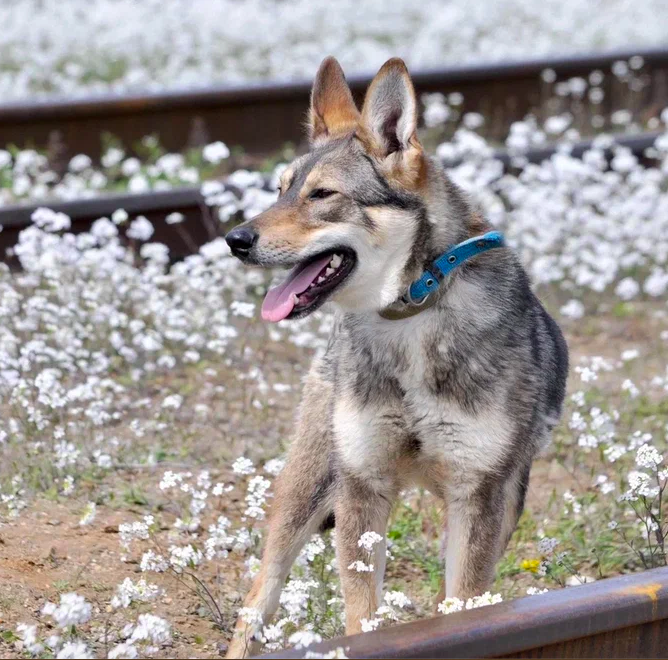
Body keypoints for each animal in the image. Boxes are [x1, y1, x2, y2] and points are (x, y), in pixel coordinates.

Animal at [224, 58, 568, 660]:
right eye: (280, 190)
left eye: (322, 194)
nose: (235, 239)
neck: (409, 318)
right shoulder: (363, 486)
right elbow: (362, 616)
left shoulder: (477, 495)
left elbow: (460, 607)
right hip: (309, 486)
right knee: (258, 599)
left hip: (504, 506)